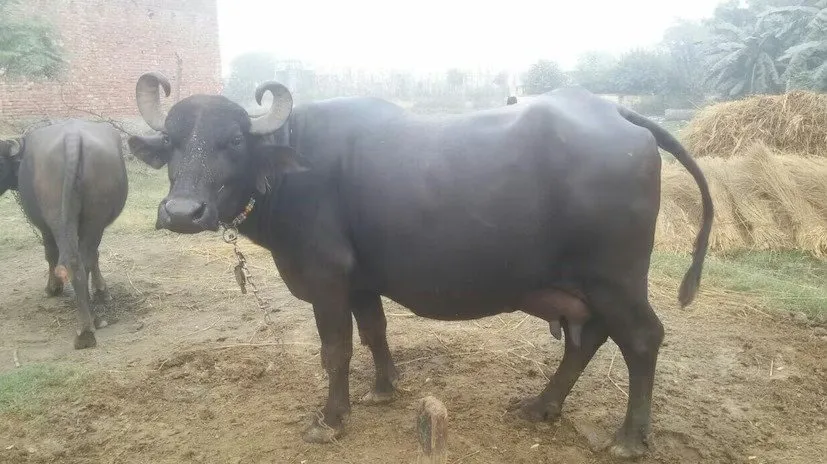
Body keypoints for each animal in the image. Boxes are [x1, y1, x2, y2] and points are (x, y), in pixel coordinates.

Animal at [0, 120, 128, 349]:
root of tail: (72, 137)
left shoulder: (45, 227)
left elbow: (50, 255)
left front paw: (52, 289)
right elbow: (95, 256)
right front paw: (101, 291)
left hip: (56, 216)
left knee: (70, 260)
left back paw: (84, 330)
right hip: (93, 219)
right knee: (84, 259)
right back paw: (93, 319)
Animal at [127, 72, 712, 459]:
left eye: (232, 141)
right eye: (172, 142)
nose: (182, 212)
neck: (292, 169)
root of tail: (615, 113)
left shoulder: (326, 277)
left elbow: (335, 350)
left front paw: (330, 418)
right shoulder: (361, 282)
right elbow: (374, 332)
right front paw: (384, 388)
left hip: (616, 279)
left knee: (641, 339)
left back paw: (628, 438)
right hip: (584, 286)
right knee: (586, 338)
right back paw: (540, 405)